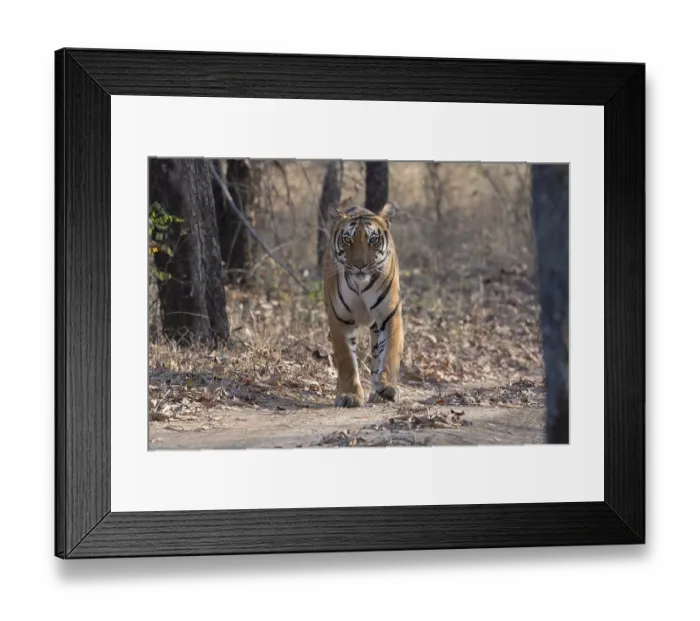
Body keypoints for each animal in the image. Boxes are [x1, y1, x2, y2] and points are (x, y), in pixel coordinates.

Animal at [322, 202, 404, 407]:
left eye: (373, 239)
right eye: (347, 240)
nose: (359, 265)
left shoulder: (390, 315)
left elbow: (390, 351)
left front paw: (388, 387)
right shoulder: (339, 319)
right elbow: (346, 359)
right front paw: (349, 395)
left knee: (377, 354)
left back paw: (378, 391)